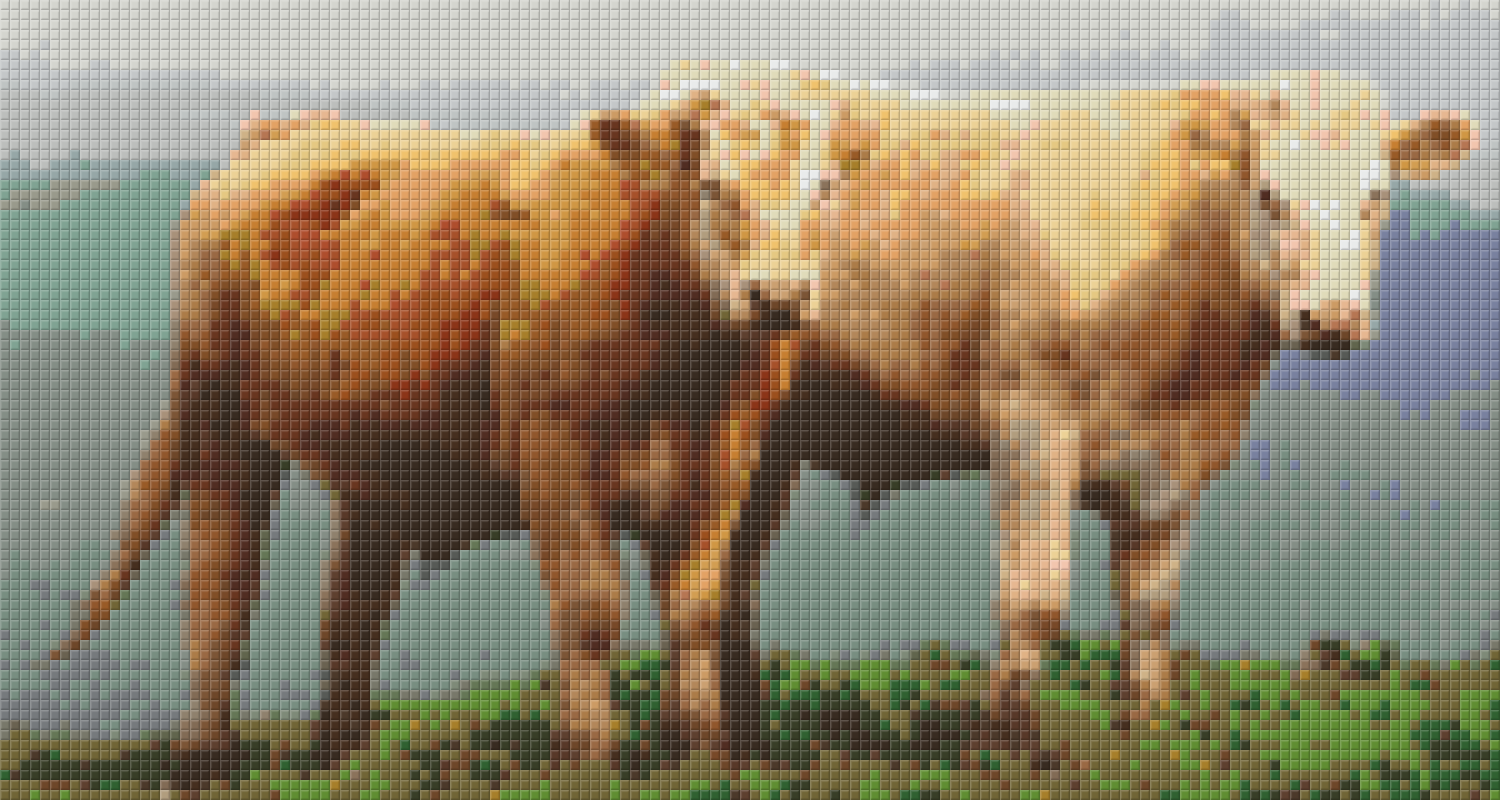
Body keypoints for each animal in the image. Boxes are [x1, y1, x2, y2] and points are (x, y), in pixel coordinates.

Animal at [40, 99, 803, 792]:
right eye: (714, 186)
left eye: (820, 190)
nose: (781, 295)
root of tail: (282, 131)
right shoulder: (555, 450)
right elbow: (589, 607)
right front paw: (588, 756)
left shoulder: (725, 465)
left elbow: (699, 612)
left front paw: (702, 751)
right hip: (220, 418)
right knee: (221, 578)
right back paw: (205, 757)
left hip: (375, 452)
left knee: (352, 604)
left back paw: (342, 756)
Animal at [629, 63, 1478, 772]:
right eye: (1270, 194)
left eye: (1378, 194)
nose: (1330, 317)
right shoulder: (1032, 420)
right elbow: (1035, 598)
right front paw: (1002, 743)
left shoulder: (1179, 458)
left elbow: (1150, 609)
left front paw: (1147, 735)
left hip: (770, 442)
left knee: (734, 576)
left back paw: (750, 739)